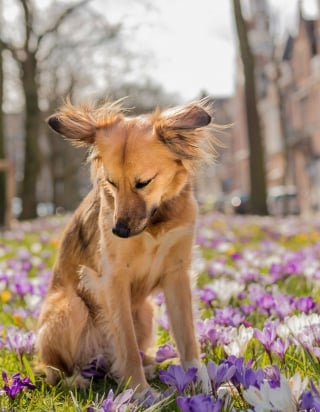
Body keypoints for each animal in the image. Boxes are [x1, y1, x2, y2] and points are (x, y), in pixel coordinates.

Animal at [35, 98, 220, 394]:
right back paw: (77, 379)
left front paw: (201, 385)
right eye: (111, 182)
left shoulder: (177, 274)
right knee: (54, 370)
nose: (119, 231)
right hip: (70, 306)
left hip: (146, 311)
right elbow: (127, 346)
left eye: (143, 183)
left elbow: (188, 339)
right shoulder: (113, 279)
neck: (154, 223)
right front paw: (140, 392)